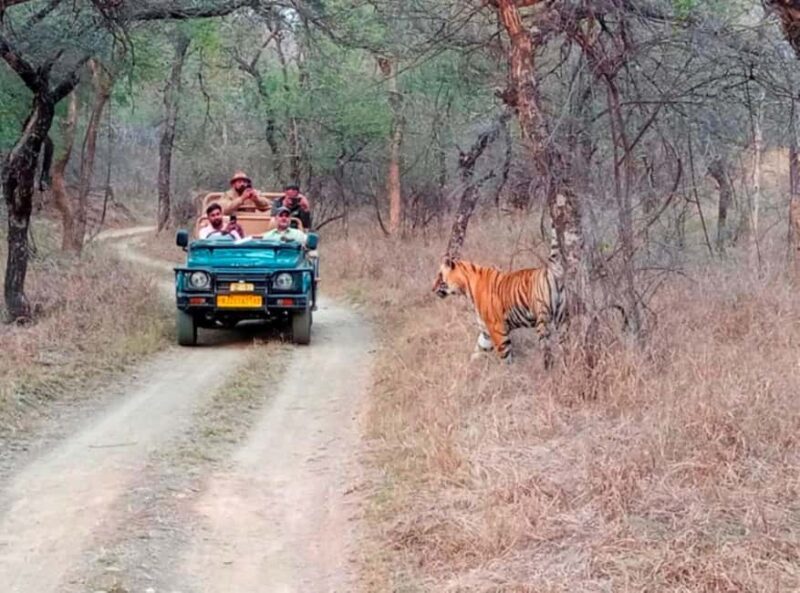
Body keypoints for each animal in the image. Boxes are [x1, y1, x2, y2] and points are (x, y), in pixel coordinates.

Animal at [431, 234, 566, 367]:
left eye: (439, 275)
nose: (432, 289)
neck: (466, 286)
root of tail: (551, 269)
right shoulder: (485, 331)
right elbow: (478, 350)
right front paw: (470, 367)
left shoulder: (497, 329)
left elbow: (505, 357)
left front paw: (508, 371)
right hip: (562, 319)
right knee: (565, 343)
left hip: (543, 320)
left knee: (547, 349)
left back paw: (548, 368)